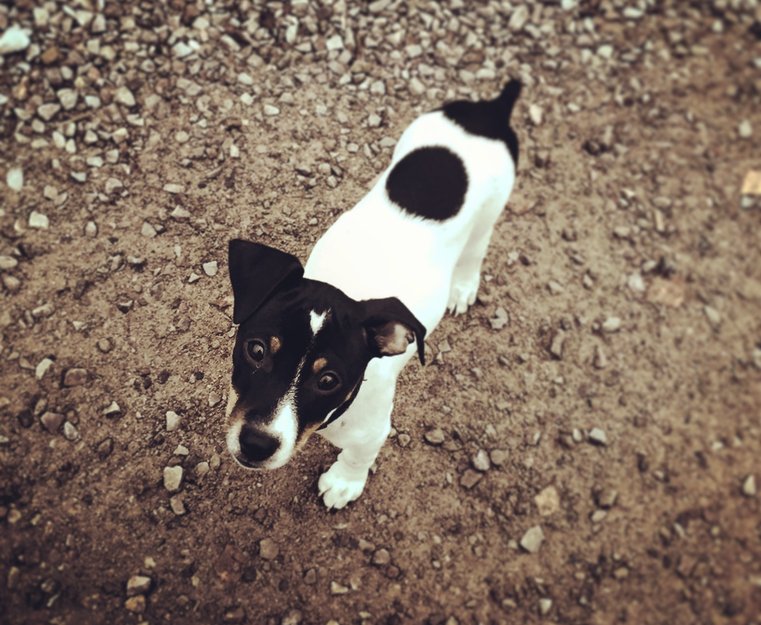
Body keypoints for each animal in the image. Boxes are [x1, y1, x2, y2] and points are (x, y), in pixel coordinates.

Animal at [225, 80, 521, 509]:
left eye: (328, 380)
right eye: (257, 350)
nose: (256, 444)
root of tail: (491, 110)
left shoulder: (372, 430)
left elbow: (358, 455)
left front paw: (343, 483)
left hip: (490, 213)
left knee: (475, 251)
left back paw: (463, 287)